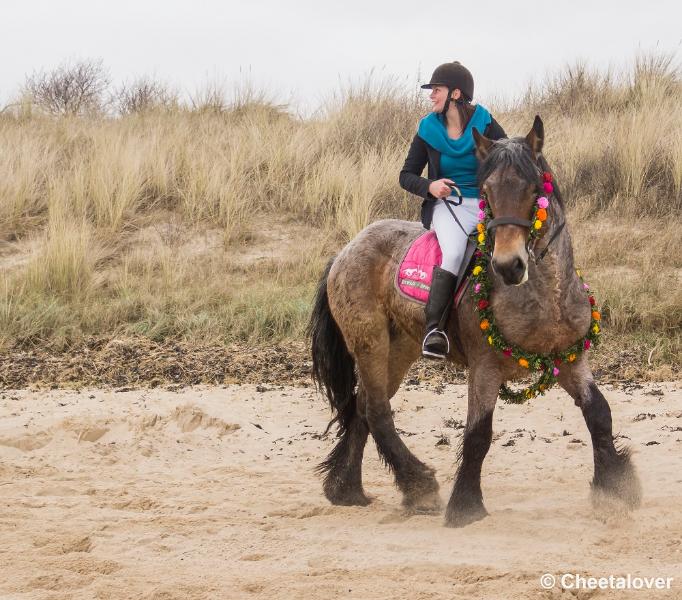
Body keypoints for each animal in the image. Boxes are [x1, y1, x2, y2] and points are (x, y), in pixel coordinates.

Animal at [306, 115, 640, 528]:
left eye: (535, 189)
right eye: (486, 192)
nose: (509, 266)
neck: (546, 293)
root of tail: (345, 249)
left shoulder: (569, 359)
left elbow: (599, 413)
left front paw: (615, 488)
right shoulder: (485, 367)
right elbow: (479, 433)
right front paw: (465, 506)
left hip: (398, 348)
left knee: (364, 404)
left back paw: (347, 489)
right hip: (369, 342)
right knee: (377, 411)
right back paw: (418, 485)